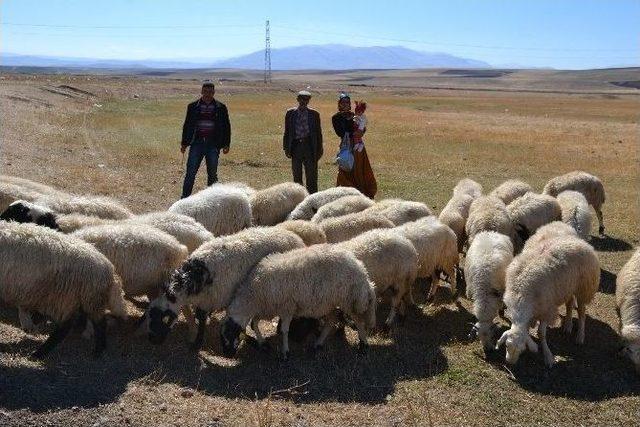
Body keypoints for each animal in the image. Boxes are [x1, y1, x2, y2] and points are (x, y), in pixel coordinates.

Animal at [146, 227, 306, 352]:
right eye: (150, 316)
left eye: (163, 317)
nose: (153, 340)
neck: (195, 277)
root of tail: (295, 237)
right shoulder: (204, 301)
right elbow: (202, 319)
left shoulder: (217, 299)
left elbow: (206, 321)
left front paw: (197, 343)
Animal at [222, 244, 378, 358]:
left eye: (229, 333)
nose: (227, 354)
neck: (254, 294)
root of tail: (362, 270)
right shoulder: (267, 308)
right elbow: (254, 323)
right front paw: (262, 342)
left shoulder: (286, 307)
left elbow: (284, 330)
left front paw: (285, 352)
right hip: (329, 303)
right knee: (330, 322)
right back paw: (318, 344)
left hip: (349, 299)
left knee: (358, 321)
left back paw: (363, 345)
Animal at [500, 234, 600, 368]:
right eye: (506, 346)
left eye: (521, 350)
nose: (509, 363)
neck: (520, 294)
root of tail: (581, 241)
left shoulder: (546, 309)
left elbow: (541, 333)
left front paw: (548, 356)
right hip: (567, 287)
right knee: (569, 305)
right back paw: (568, 325)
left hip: (583, 288)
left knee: (581, 312)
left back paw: (580, 336)